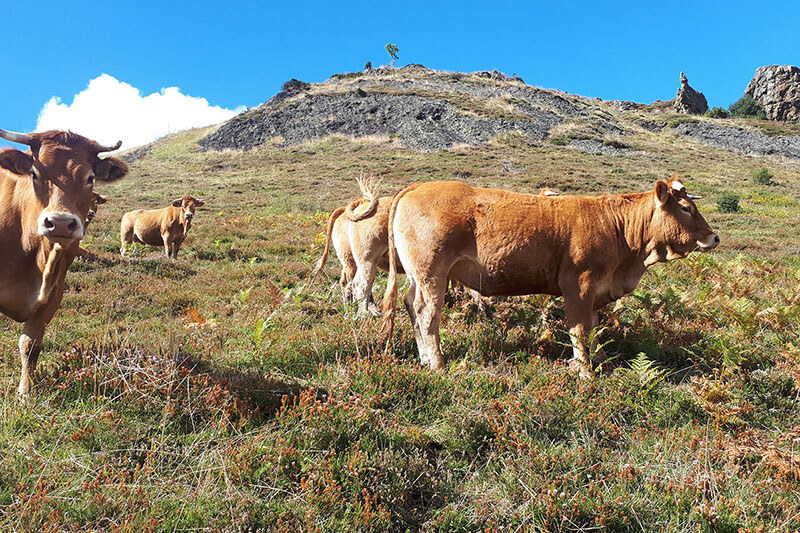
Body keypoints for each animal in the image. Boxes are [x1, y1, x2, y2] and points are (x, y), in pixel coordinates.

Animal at [0, 128, 128, 394]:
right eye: (34, 173)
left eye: (90, 178)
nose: (59, 223)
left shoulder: (54, 294)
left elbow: (30, 345)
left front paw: (25, 393)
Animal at [382, 177, 720, 376]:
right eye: (686, 209)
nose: (714, 237)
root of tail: (417, 186)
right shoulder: (579, 285)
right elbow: (580, 329)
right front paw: (585, 371)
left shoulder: (595, 291)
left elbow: (594, 328)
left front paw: (594, 360)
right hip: (432, 272)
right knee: (427, 313)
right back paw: (437, 363)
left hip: (418, 276)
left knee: (411, 305)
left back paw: (424, 358)